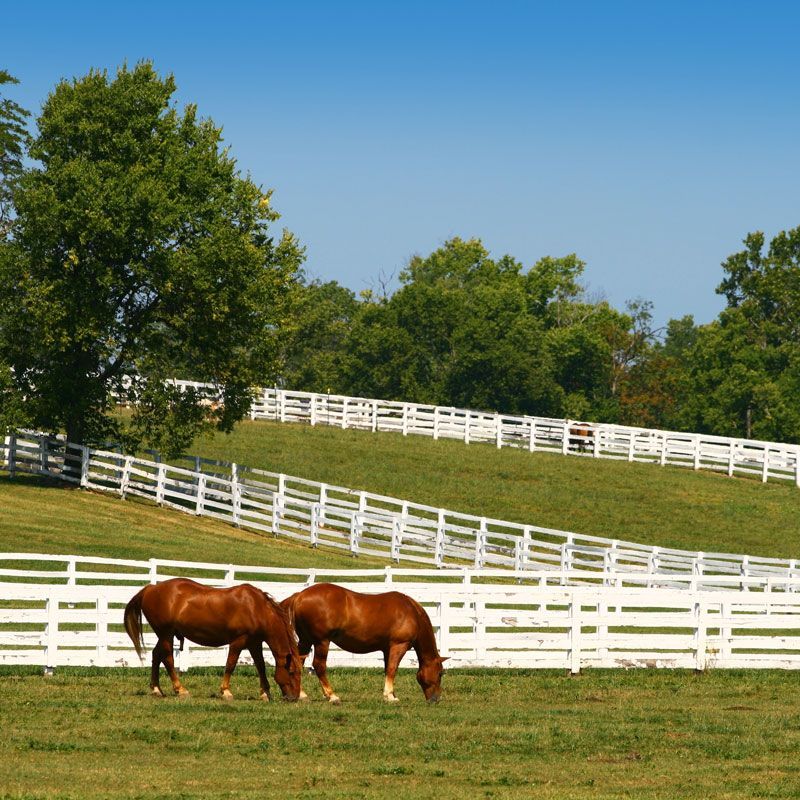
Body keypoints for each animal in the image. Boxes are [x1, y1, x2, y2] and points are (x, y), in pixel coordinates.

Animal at [124, 578, 302, 702]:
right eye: (291, 672)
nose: (294, 697)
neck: (256, 608)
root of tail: (151, 588)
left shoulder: (254, 643)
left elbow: (261, 666)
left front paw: (265, 693)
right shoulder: (238, 641)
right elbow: (230, 664)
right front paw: (226, 691)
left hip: (164, 635)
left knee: (156, 655)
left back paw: (156, 689)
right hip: (166, 634)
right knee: (168, 659)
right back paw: (180, 689)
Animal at [281, 583, 447, 704]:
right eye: (440, 673)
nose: (436, 699)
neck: (412, 612)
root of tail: (299, 596)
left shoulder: (387, 649)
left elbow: (387, 669)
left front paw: (392, 694)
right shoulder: (399, 646)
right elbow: (392, 669)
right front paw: (390, 696)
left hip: (306, 641)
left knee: (298, 663)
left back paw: (301, 694)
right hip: (322, 642)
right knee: (319, 665)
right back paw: (332, 696)